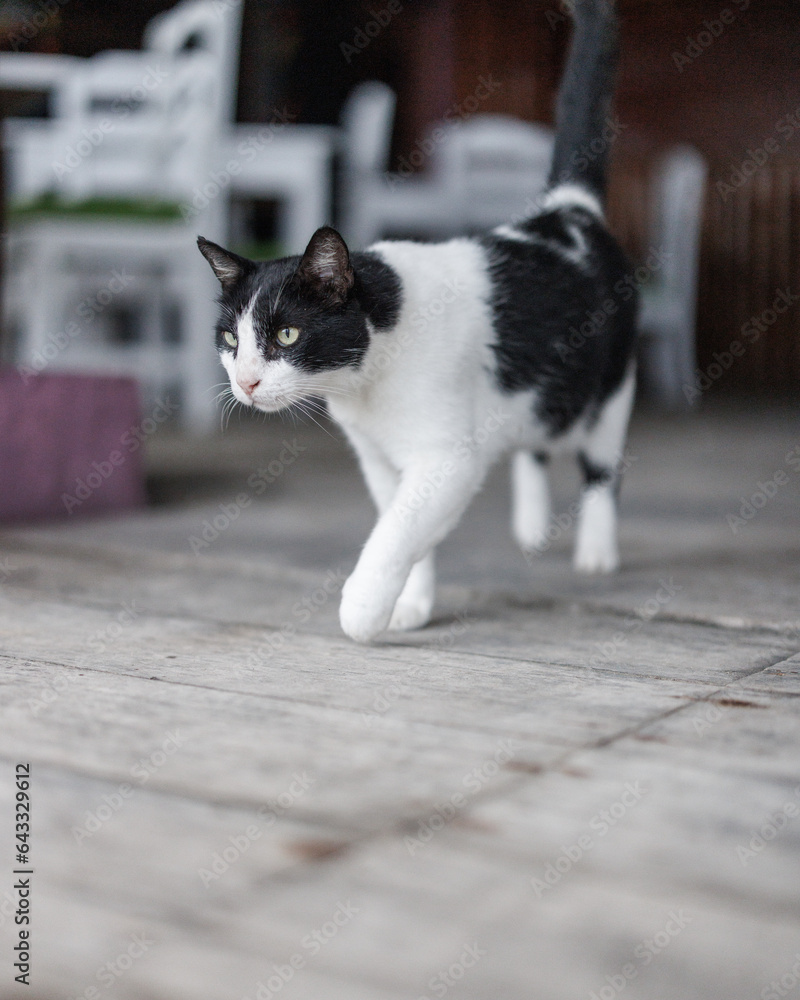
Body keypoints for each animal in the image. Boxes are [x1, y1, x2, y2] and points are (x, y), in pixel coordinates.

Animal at [198, 0, 636, 640]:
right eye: (231, 338)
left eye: (286, 334)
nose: (246, 381)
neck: (366, 379)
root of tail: (566, 211)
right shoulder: (380, 458)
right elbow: (408, 527)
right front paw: (410, 605)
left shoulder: (446, 458)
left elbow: (396, 530)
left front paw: (363, 609)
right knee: (534, 441)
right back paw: (532, 528)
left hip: (609, 390)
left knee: (601, 466)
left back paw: (598, 551)